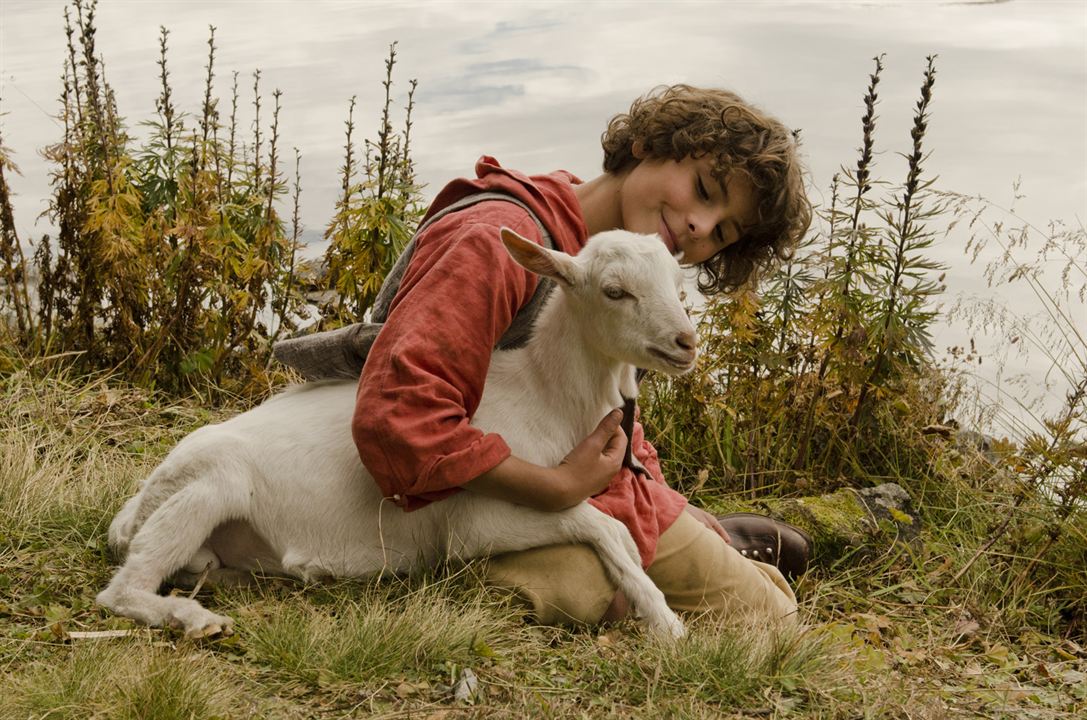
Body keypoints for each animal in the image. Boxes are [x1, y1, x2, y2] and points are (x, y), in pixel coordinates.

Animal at [100, 228, 695, 639]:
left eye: (676, 283)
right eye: (614, 291)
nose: (686, 342)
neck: (545, 397)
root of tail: (129, 515)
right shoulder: (477, 519)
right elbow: (604, 525)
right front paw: (664, 621)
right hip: (207, 484)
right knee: (122, 590)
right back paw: (194, 618)